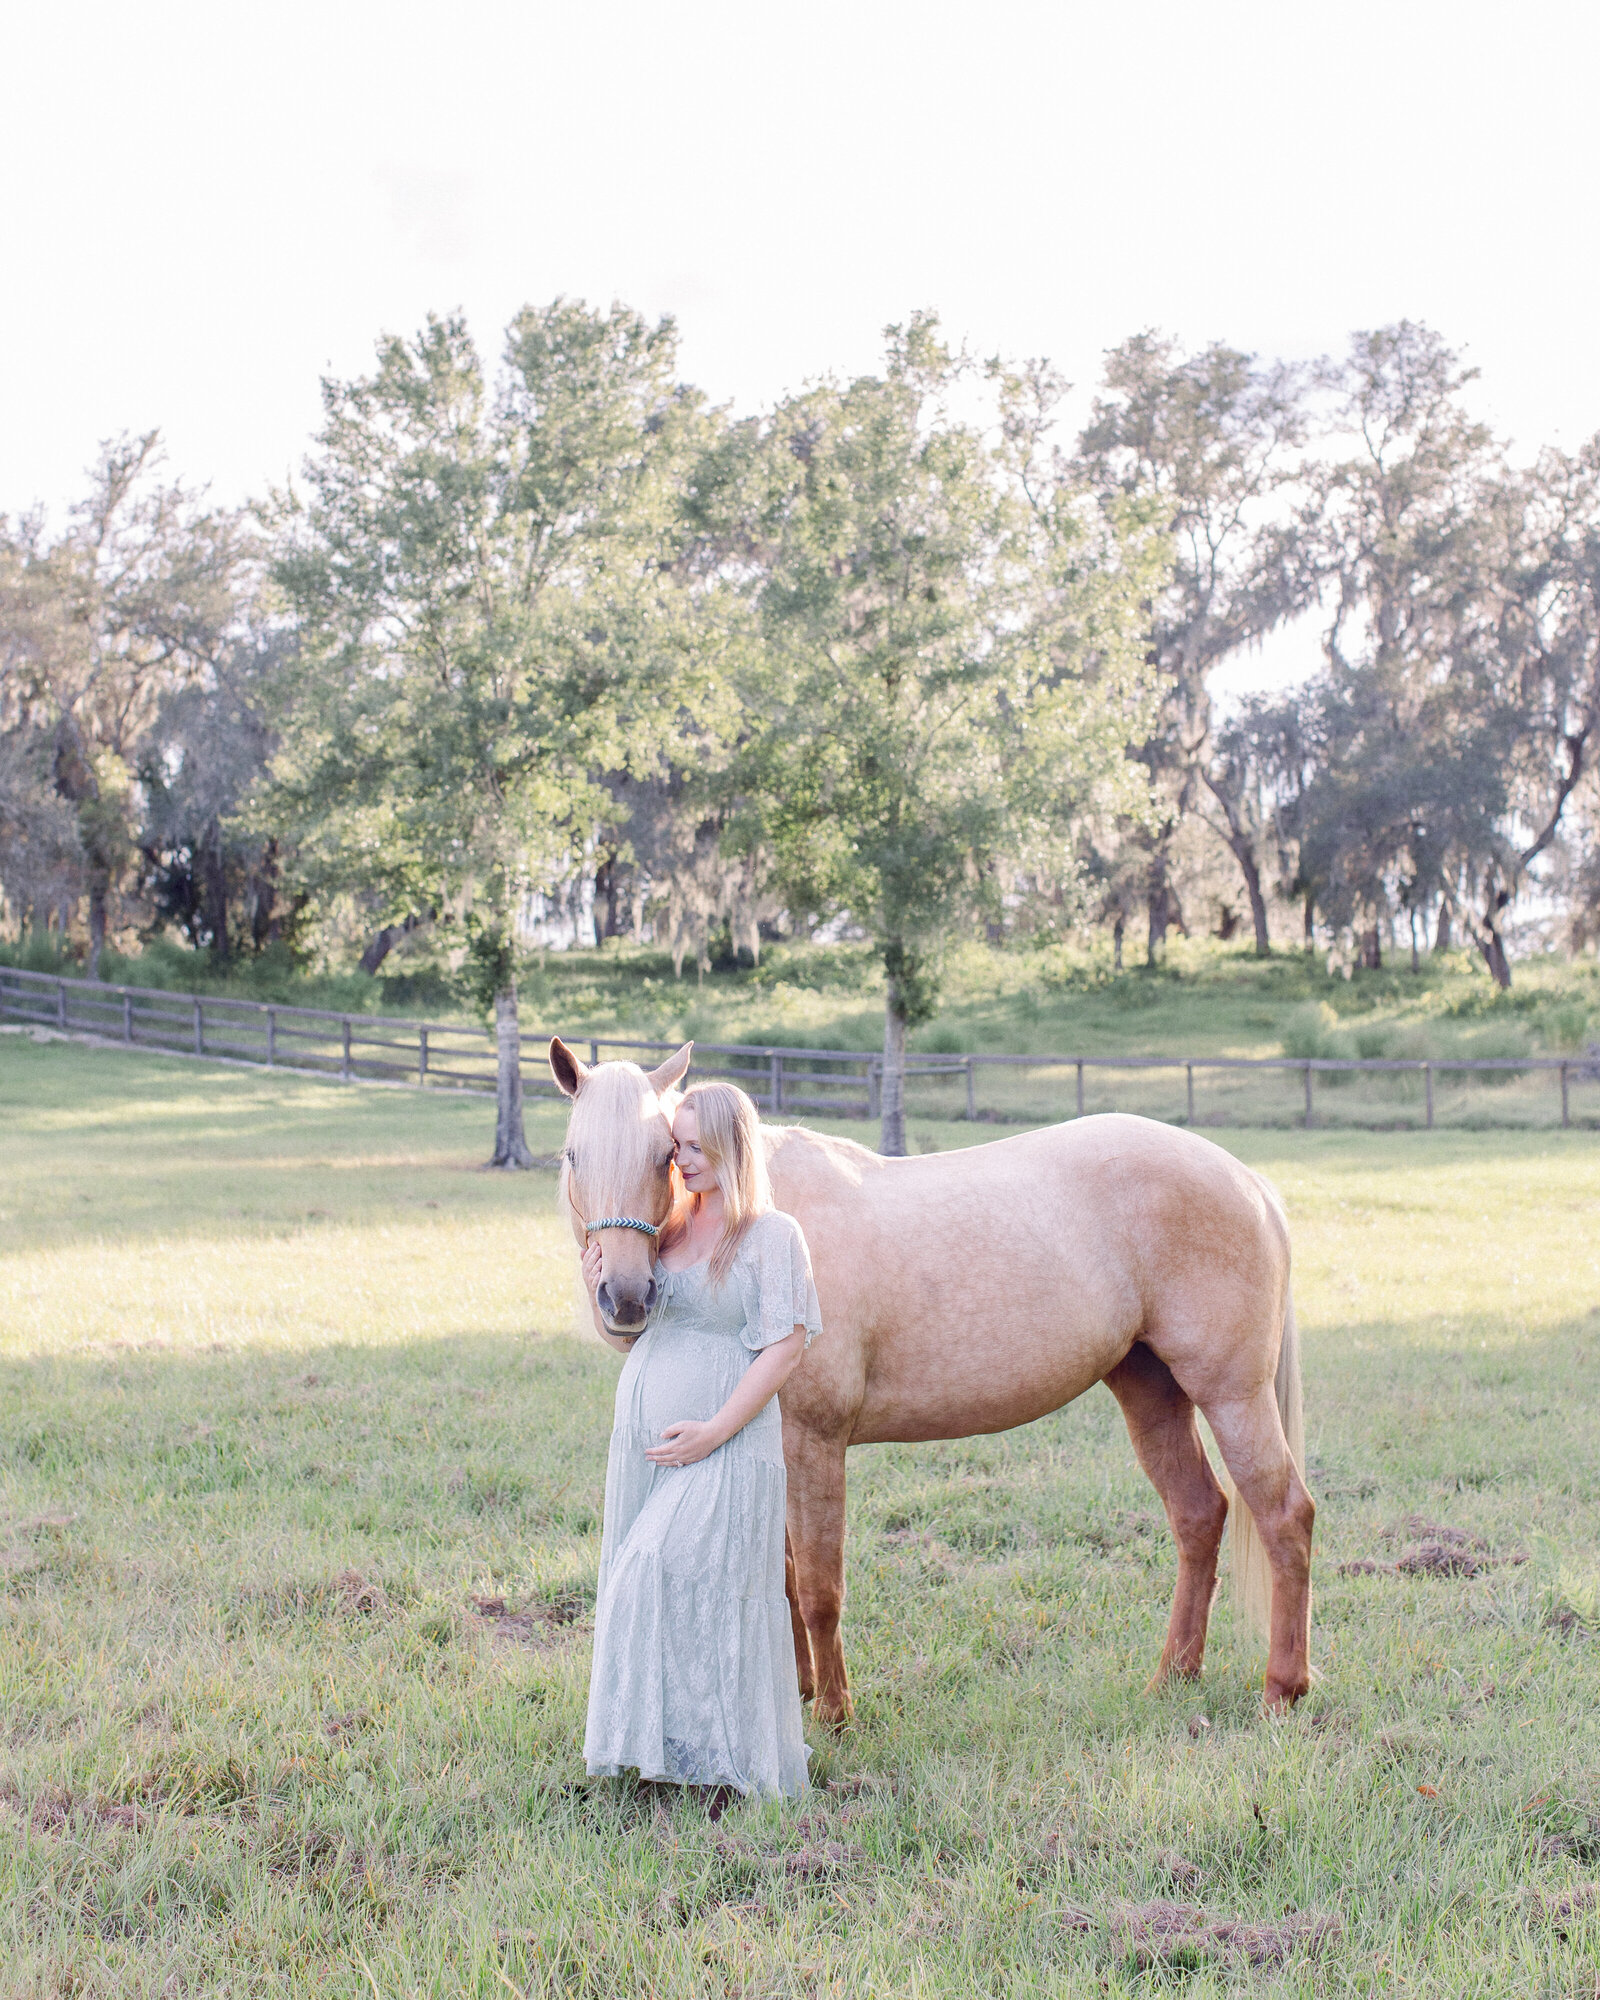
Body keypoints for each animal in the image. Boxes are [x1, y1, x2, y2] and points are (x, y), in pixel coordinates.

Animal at [549, 1037, 1313, 1725]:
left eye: (664, 1155)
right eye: (572, 1154)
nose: (626, 1297)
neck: (762, 1214)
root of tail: (1247, 1181)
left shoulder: (814, 1444)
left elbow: (821, 1586)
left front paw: (834, 1713)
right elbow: (788, 1578)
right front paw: (799, 1692)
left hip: (1232, 1396)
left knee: (1284, 1515)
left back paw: (1282, 1690)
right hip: (1150, 1392)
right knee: (1198, 1515)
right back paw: (1174, 1676)